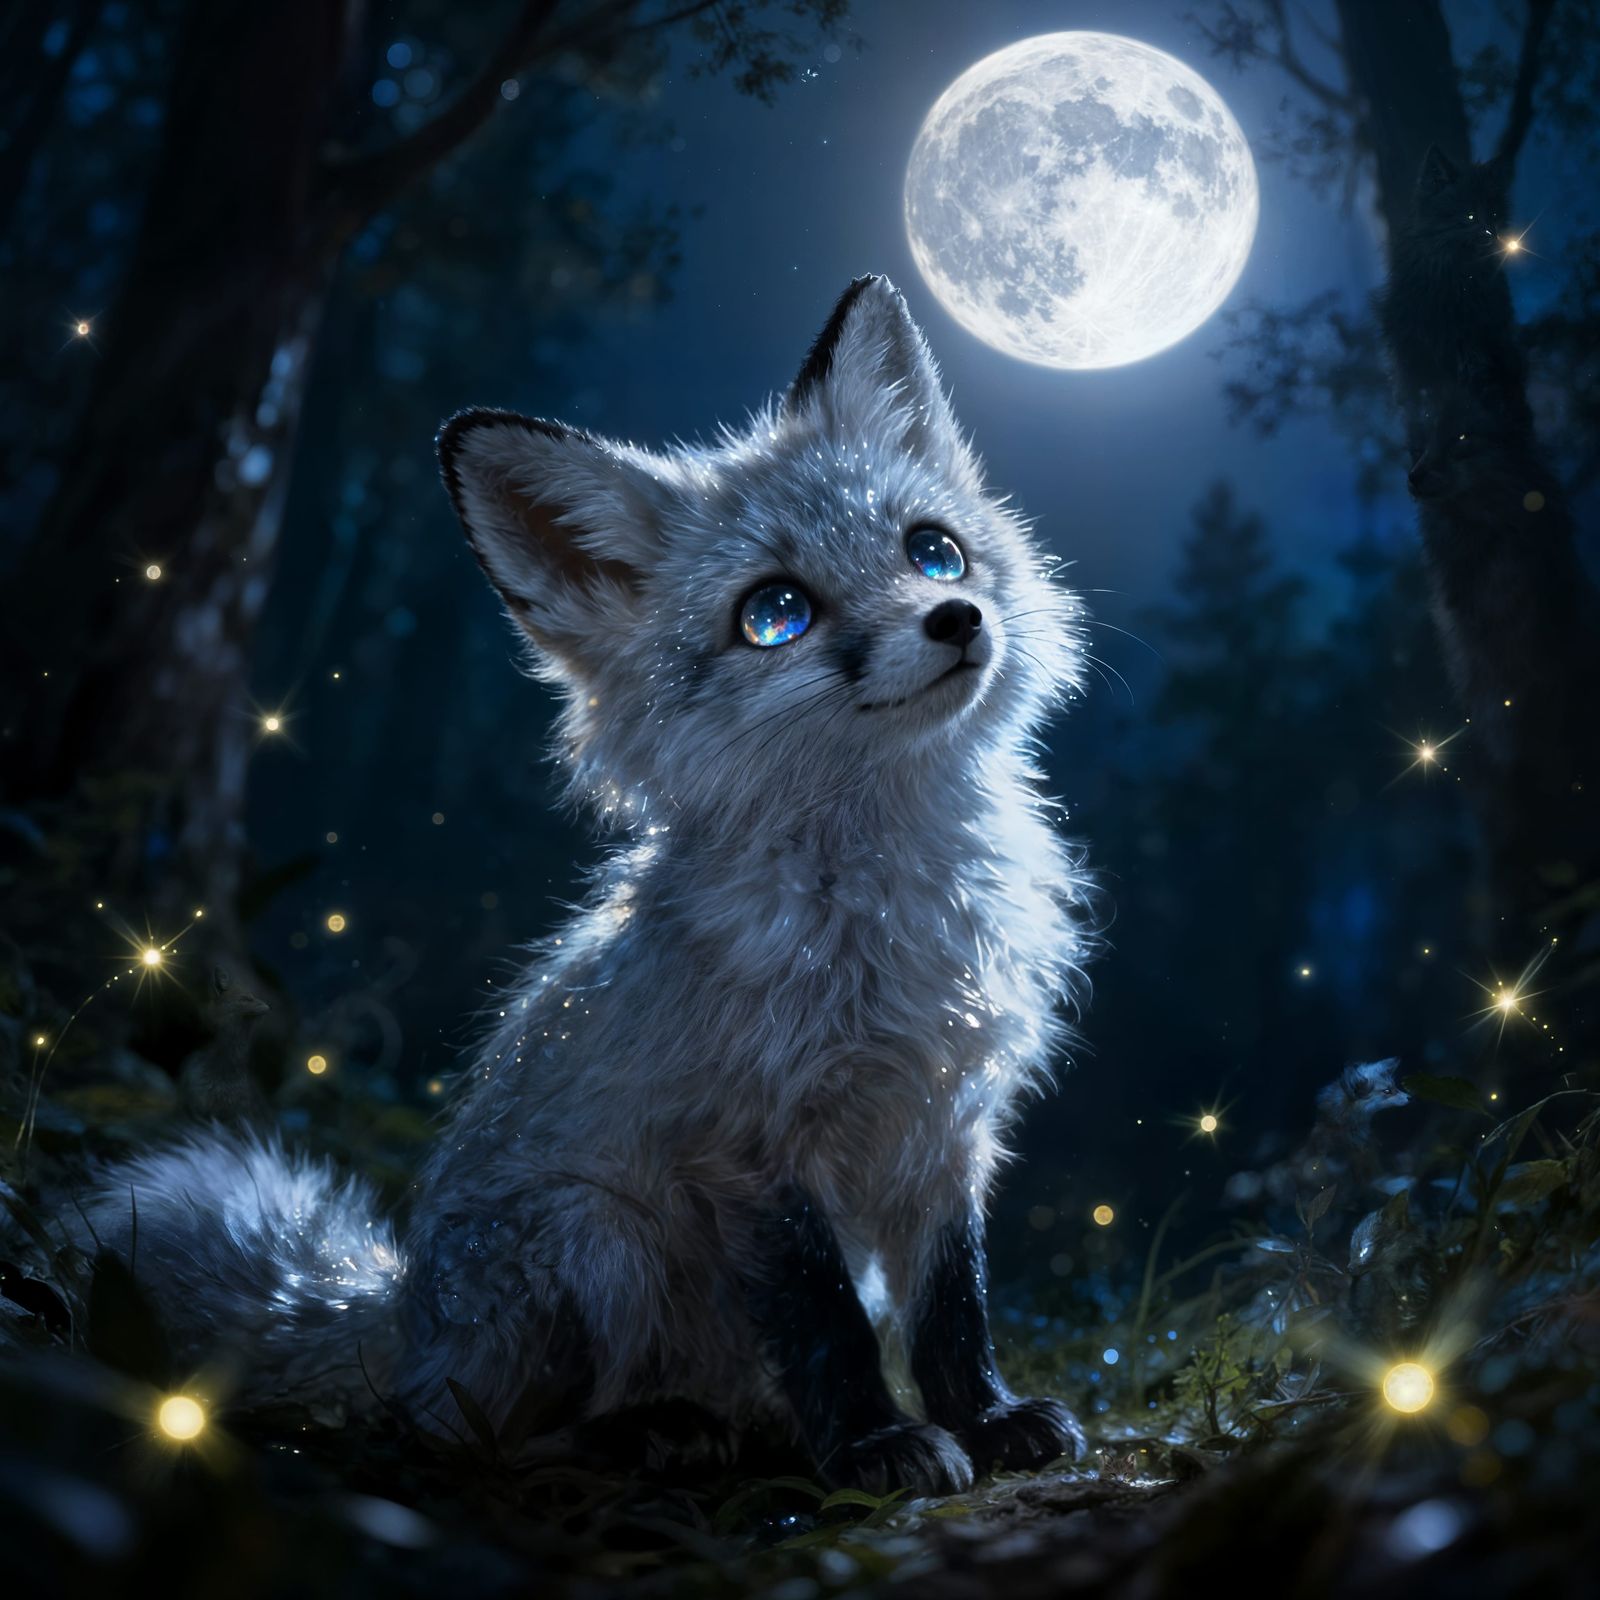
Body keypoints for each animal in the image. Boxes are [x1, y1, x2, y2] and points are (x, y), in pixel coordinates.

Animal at [74, 276, 1092, 1494]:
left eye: (932, 551)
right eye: (776, 614)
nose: (955, 619)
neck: (888, 917)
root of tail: (404, 1312)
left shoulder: (947, 1126)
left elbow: (952, 1310)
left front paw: (985, 1420)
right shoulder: (746, 1150)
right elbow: (828, 1326)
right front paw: (872, 1442)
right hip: (596, 1241)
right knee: (464, 1433)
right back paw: (646, 1433)